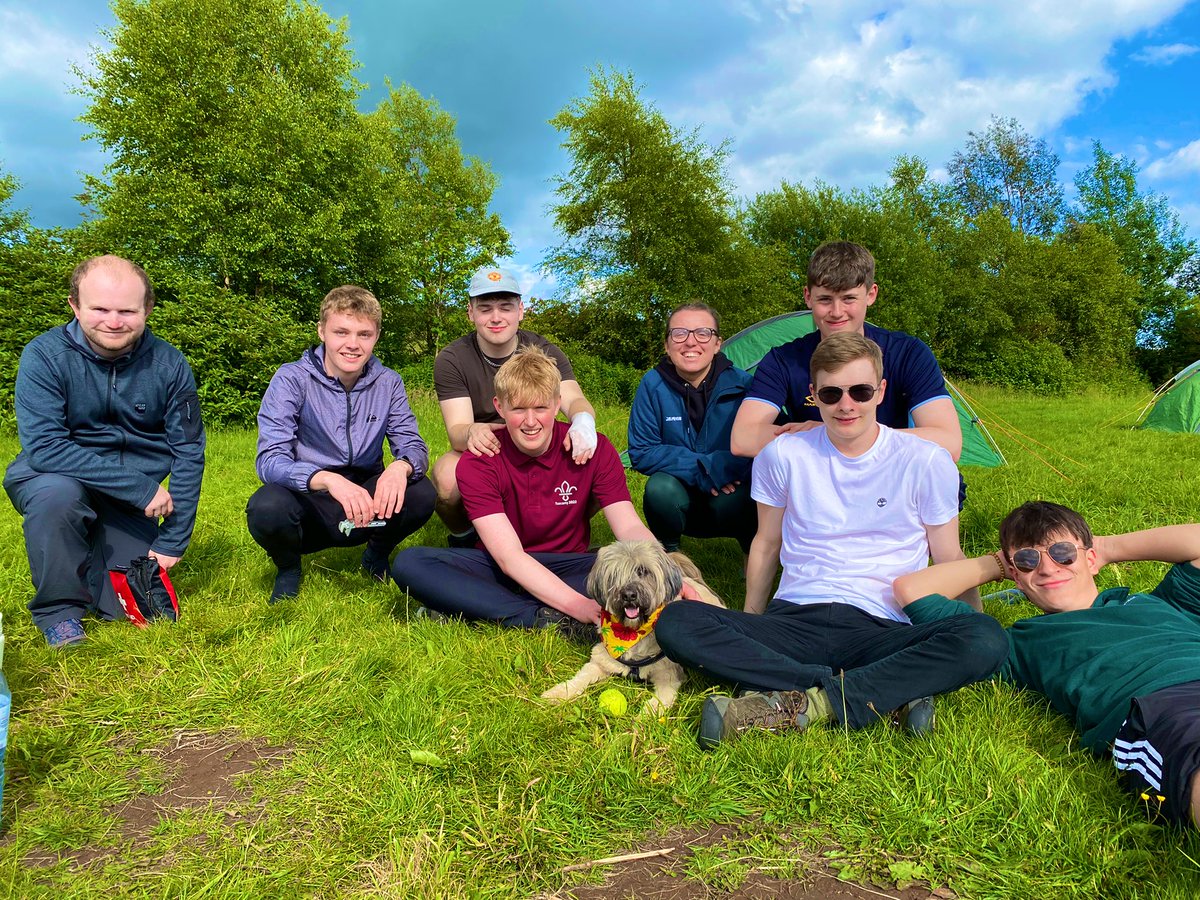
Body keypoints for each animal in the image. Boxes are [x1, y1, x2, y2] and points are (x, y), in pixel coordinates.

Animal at [542, 542, 720, 720]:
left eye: (643, 571)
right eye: (615, 574)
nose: (628, 595)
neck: (632, 634)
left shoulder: (668, 676)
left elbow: (658, 702)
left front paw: (642, 719)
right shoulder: (600, 660)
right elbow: (580, 678)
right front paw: (557, 693)